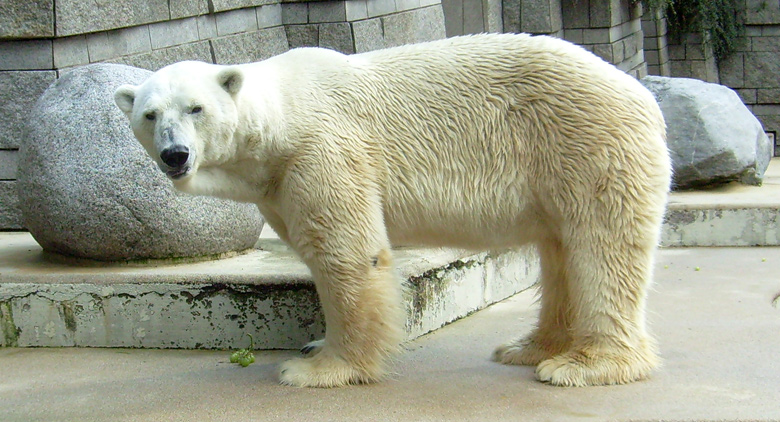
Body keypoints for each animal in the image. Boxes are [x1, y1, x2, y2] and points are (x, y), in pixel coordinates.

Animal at [114, 33, 672, 390]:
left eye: (196, 108)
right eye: (150, 114)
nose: (175, 155)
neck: (282, 119)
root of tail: (641, 92)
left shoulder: (323, 151)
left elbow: (346, 253)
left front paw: (319, 369)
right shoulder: (277, 182)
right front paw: (316, 349)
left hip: (586, 143)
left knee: (601, 248)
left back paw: (585, 366)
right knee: (561, 251)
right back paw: (529, 348)